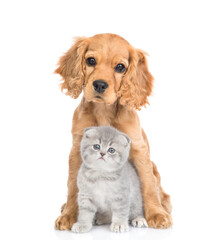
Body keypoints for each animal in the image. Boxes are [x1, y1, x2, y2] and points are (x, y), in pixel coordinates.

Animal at [54, 32, 172, 230]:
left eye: (120, 67)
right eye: (91, 60)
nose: (100, 85)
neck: (103, 111)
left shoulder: (139, 150)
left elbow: (147, 184)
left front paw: (156, 214)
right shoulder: (77, 149)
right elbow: (73, 185)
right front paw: (69, 215)